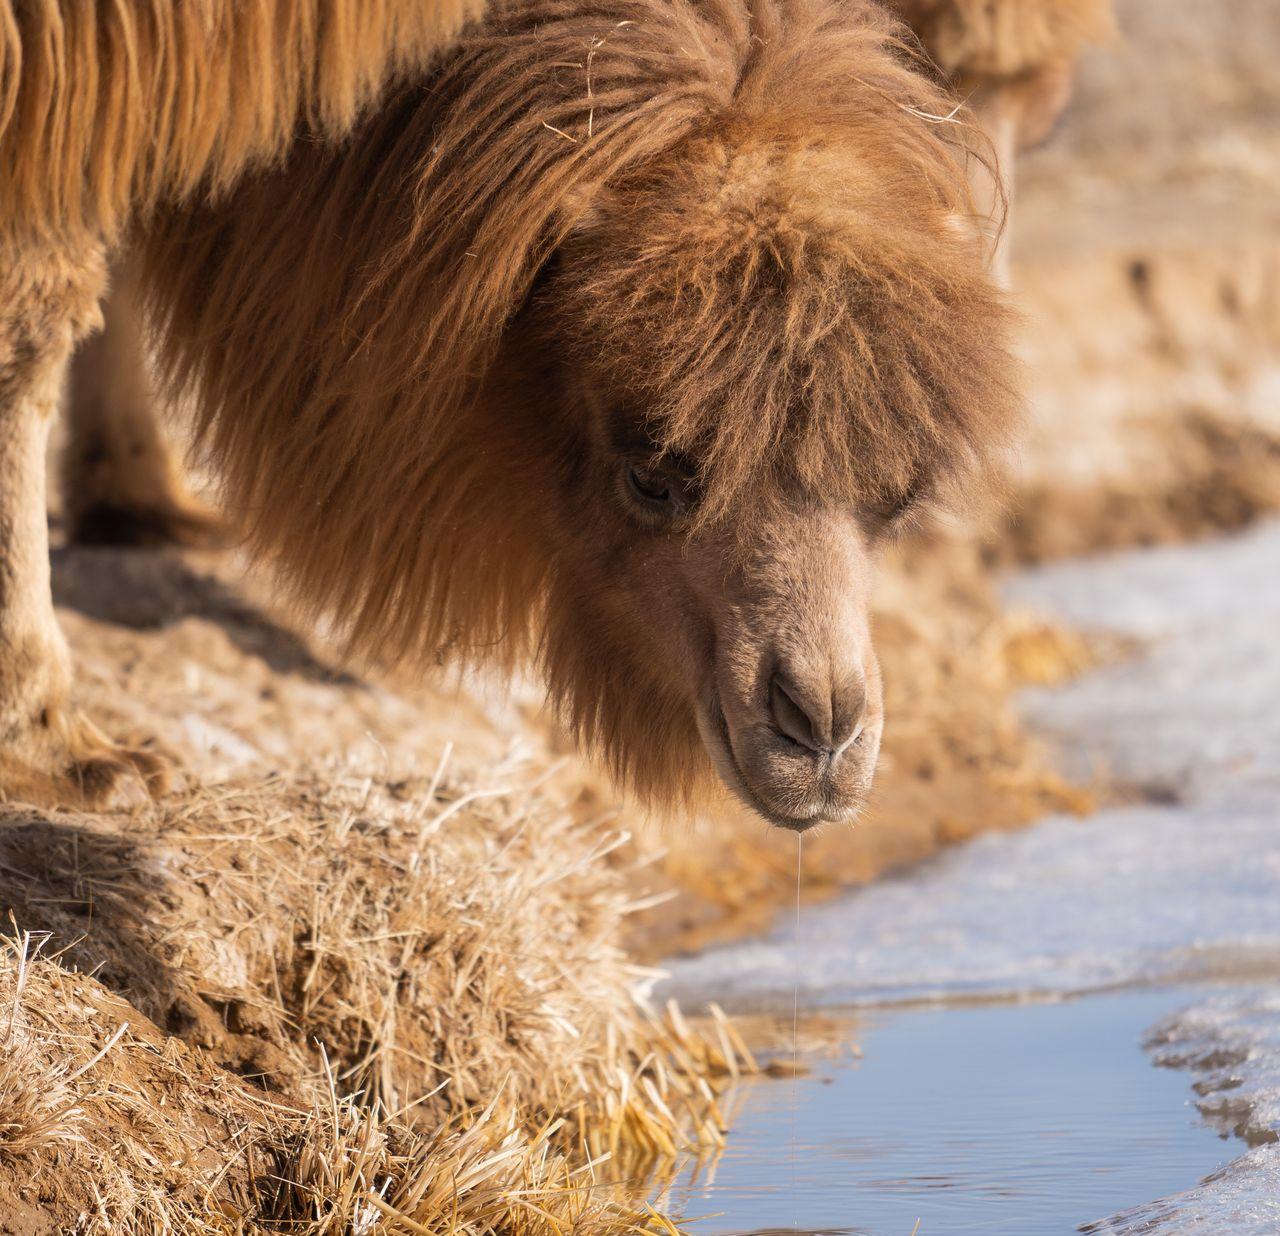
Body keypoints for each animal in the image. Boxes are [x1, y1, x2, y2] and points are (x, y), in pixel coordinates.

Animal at [0, 4, 1111, 834]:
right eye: (652, 472)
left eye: (891, 497)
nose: (821, 732)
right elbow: (35, 301)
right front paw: (61, 747)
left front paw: (135, 499)